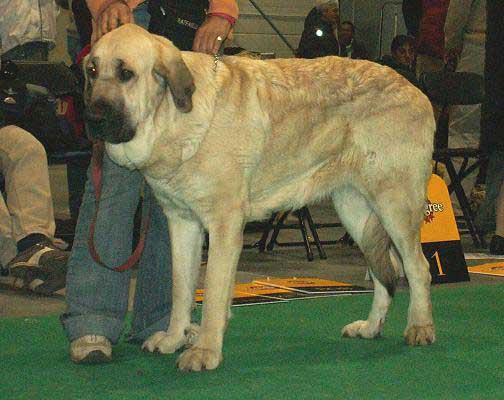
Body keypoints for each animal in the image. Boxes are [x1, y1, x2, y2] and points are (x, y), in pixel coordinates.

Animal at [83, 24, 438, 372]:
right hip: (355, 211)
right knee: (385, 270)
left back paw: (420, 327)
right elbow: (181, 289)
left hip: (394, 205)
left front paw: (205, 351)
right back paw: (371, 327)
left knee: (417, 267)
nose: (92, 119)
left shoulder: (224, 226)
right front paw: (174, 339)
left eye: (126, 73)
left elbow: (213, 293)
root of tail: (415, 89)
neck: (173, 117)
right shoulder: (182, 223)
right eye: (92, 70)